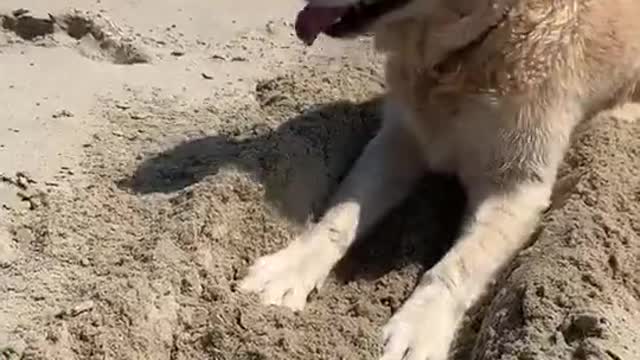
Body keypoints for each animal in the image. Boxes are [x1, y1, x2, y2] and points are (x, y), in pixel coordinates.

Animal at [239, 0, 640, 358]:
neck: (462, 55)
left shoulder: (516, 186)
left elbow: (457, 265)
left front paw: (416, 328)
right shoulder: (399, 138)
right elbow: (339, 217)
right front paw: (289, 269)